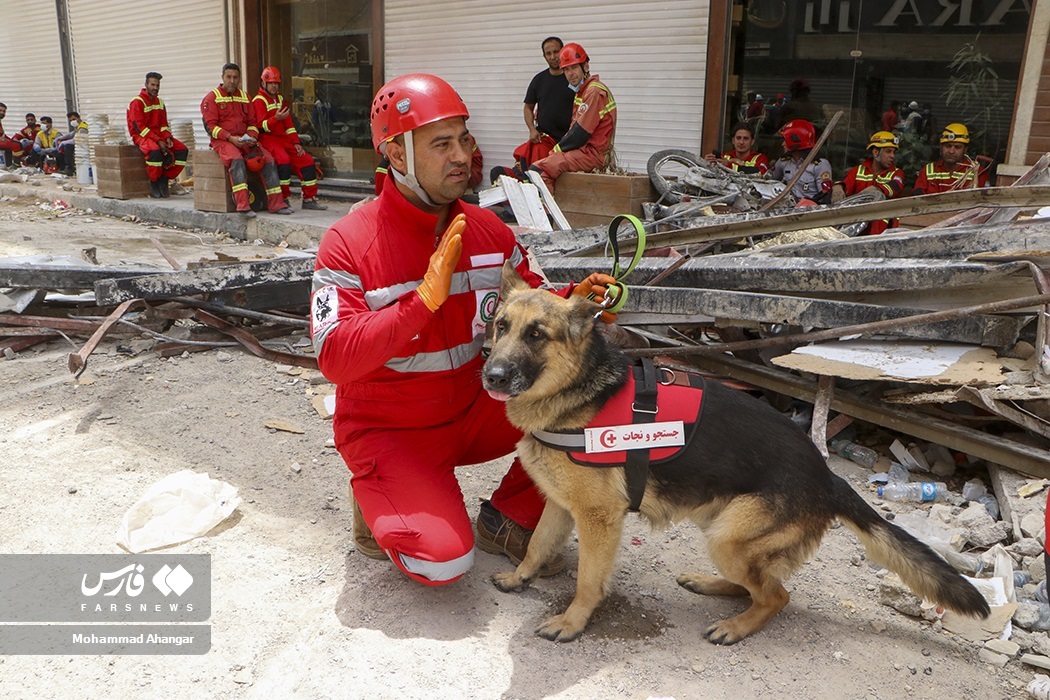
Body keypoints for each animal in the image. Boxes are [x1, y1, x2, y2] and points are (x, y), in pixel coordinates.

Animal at [480, 264, 986, 646]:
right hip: (721, 527)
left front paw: (572, 622)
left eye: (537, 334)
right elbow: (538, 544)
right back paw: (712, 585)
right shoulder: (560, 506)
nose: (493, 375)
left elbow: (588, 578)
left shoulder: (598, 519)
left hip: (729, 537)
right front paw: (521, 578)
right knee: (758, 585)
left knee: (775, 596)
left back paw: (735, 627)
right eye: (501, 325)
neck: (578, 390)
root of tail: (827, 477)